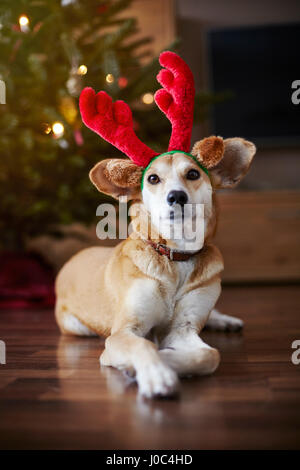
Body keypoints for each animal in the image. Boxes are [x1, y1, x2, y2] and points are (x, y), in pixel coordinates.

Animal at [54, 50, 255, 396]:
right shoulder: (123, 331)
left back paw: (224, 320)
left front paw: (169, 361)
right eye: (152, 178)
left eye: (193, 173)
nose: (177, 196)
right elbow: (143, 345)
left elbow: (210, 355)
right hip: (75, 326)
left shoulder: (185, 329)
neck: (175, 257)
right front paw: (155, 372)